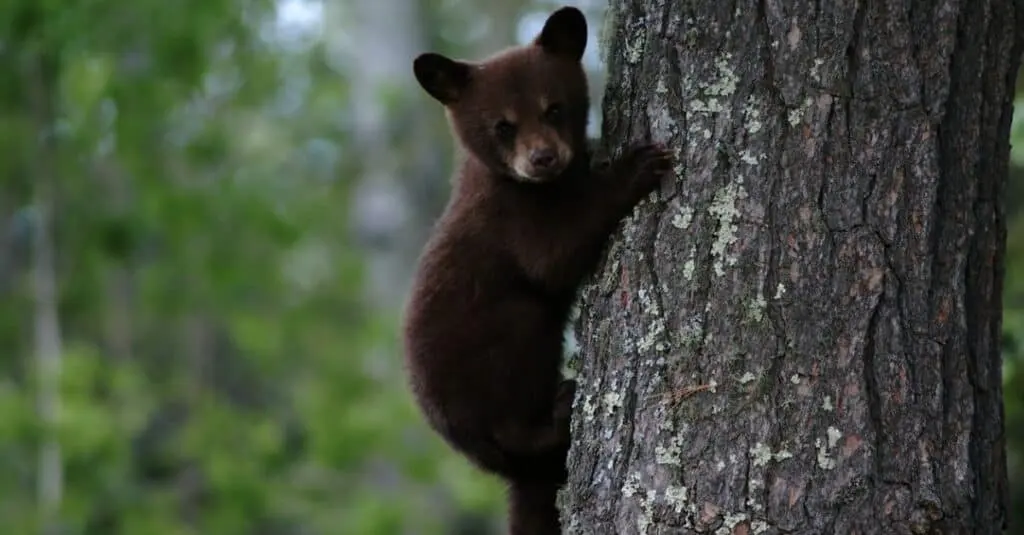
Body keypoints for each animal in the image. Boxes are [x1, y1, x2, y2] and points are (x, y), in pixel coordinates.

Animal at [401, 6, 673, 534]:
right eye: (502, 126)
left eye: (554, 108)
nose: (543, 158)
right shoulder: (511, 218)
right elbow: (554, 256)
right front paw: (637, 165)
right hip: (492, 359)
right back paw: (560, 409)